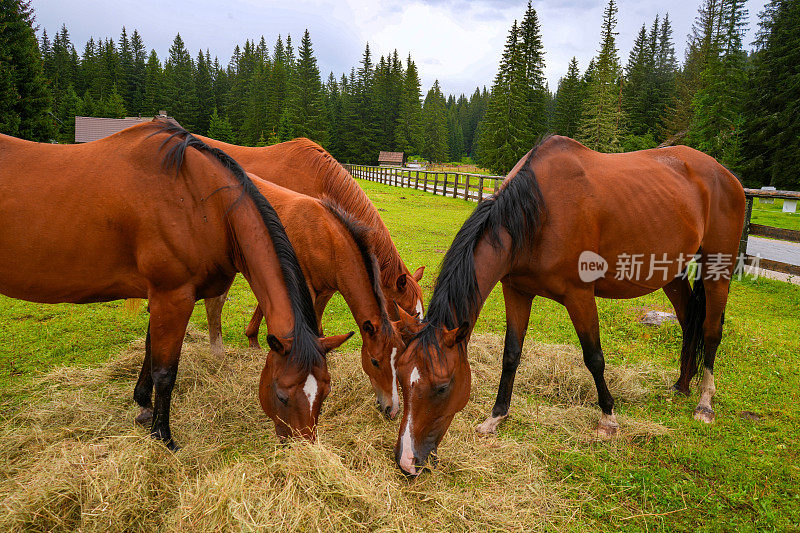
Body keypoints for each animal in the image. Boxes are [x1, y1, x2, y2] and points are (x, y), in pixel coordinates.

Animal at [0, 122, 350, 446]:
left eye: (325, 392)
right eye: (281, 395)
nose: (304, 447)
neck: (202, 201)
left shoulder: (159, 295)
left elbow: (150, 350)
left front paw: (143, 404)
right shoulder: (174, 296)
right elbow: (166, 371)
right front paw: (163, 436)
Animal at [200, 179, 418, 420]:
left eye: (398, 358)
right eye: (374, 361)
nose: (392, 409)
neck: (326, 238)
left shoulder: (325, 291)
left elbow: (319, 329)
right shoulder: (305, 290)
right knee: (214, 302)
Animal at [394, 134, 744, 474]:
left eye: (442, 387)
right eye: (401, 377)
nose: (407, 462)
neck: (537, 213)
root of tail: (726, 175)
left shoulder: (580, 296)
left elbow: (594, 357)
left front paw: (608, 419)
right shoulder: (516, 292)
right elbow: (511, 355)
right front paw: (496, 417)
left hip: (718, 268)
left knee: (711, 331)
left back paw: (704, 403)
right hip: (672, 272)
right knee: (688, 323)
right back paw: (682, 385)